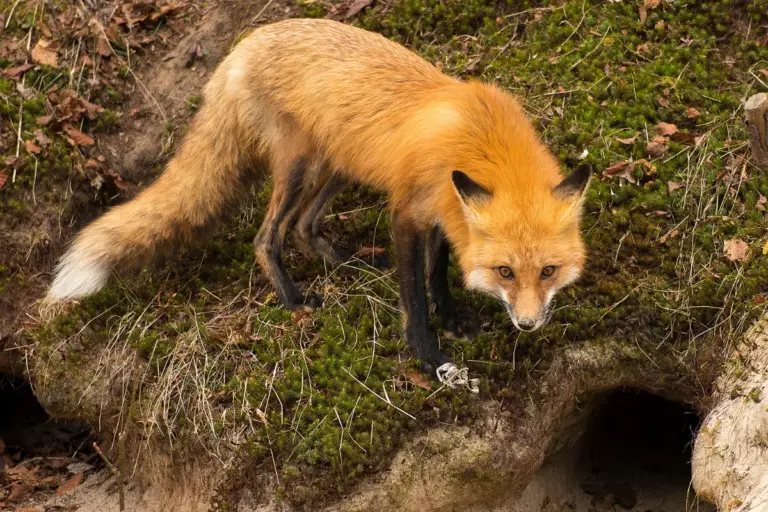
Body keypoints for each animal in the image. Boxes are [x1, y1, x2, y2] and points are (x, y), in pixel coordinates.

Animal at [47, 18, 592, 386]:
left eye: (547, 272)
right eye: (505, 272)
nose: (527, 323)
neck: (481, 142)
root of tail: (243, 46)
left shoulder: (444, 210)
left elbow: (437, 271)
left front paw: (452, 315)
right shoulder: (408, 211)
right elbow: (414, 294)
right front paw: (428, 355)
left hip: (337, 165)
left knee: (305, 227)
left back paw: (349, 264)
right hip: (300, 166)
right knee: (268, 236)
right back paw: (292, 298)